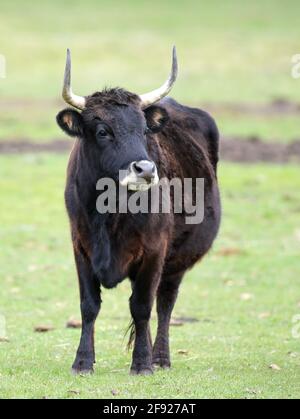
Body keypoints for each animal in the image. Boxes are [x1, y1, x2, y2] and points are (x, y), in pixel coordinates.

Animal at [55, 47, 220, 376]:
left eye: (144, 129)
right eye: (102, 131)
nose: (145, 169)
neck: (110, 213)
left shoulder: (155, 251)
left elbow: (142, 307)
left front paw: (142, 363)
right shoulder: (81, 247)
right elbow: (89, 305)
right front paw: (82, 361)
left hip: (176, 262)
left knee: (164, 303)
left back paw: (160, 358)